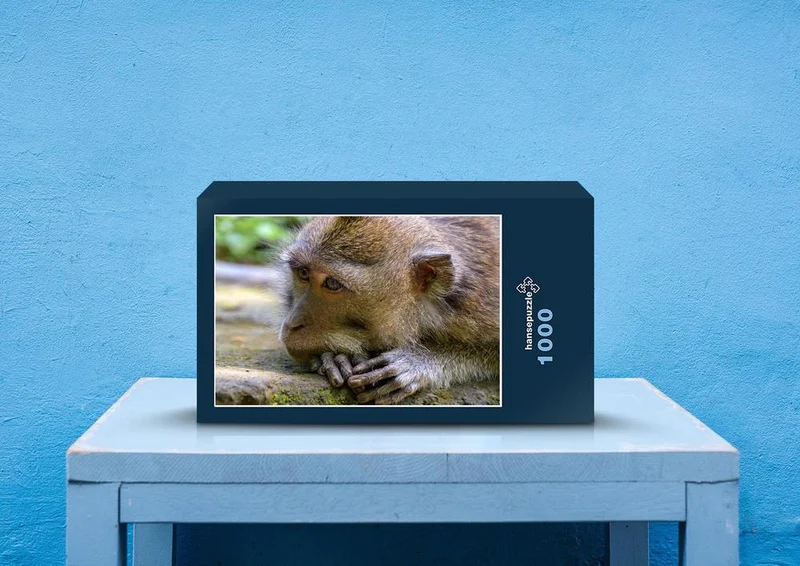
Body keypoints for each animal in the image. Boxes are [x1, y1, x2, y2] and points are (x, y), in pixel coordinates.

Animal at [277, 215, 500, 405]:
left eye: (332, 284)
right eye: (303, 273)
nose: (292, 323)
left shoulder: (483, 307)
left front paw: (419, 361)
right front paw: (334, 356)